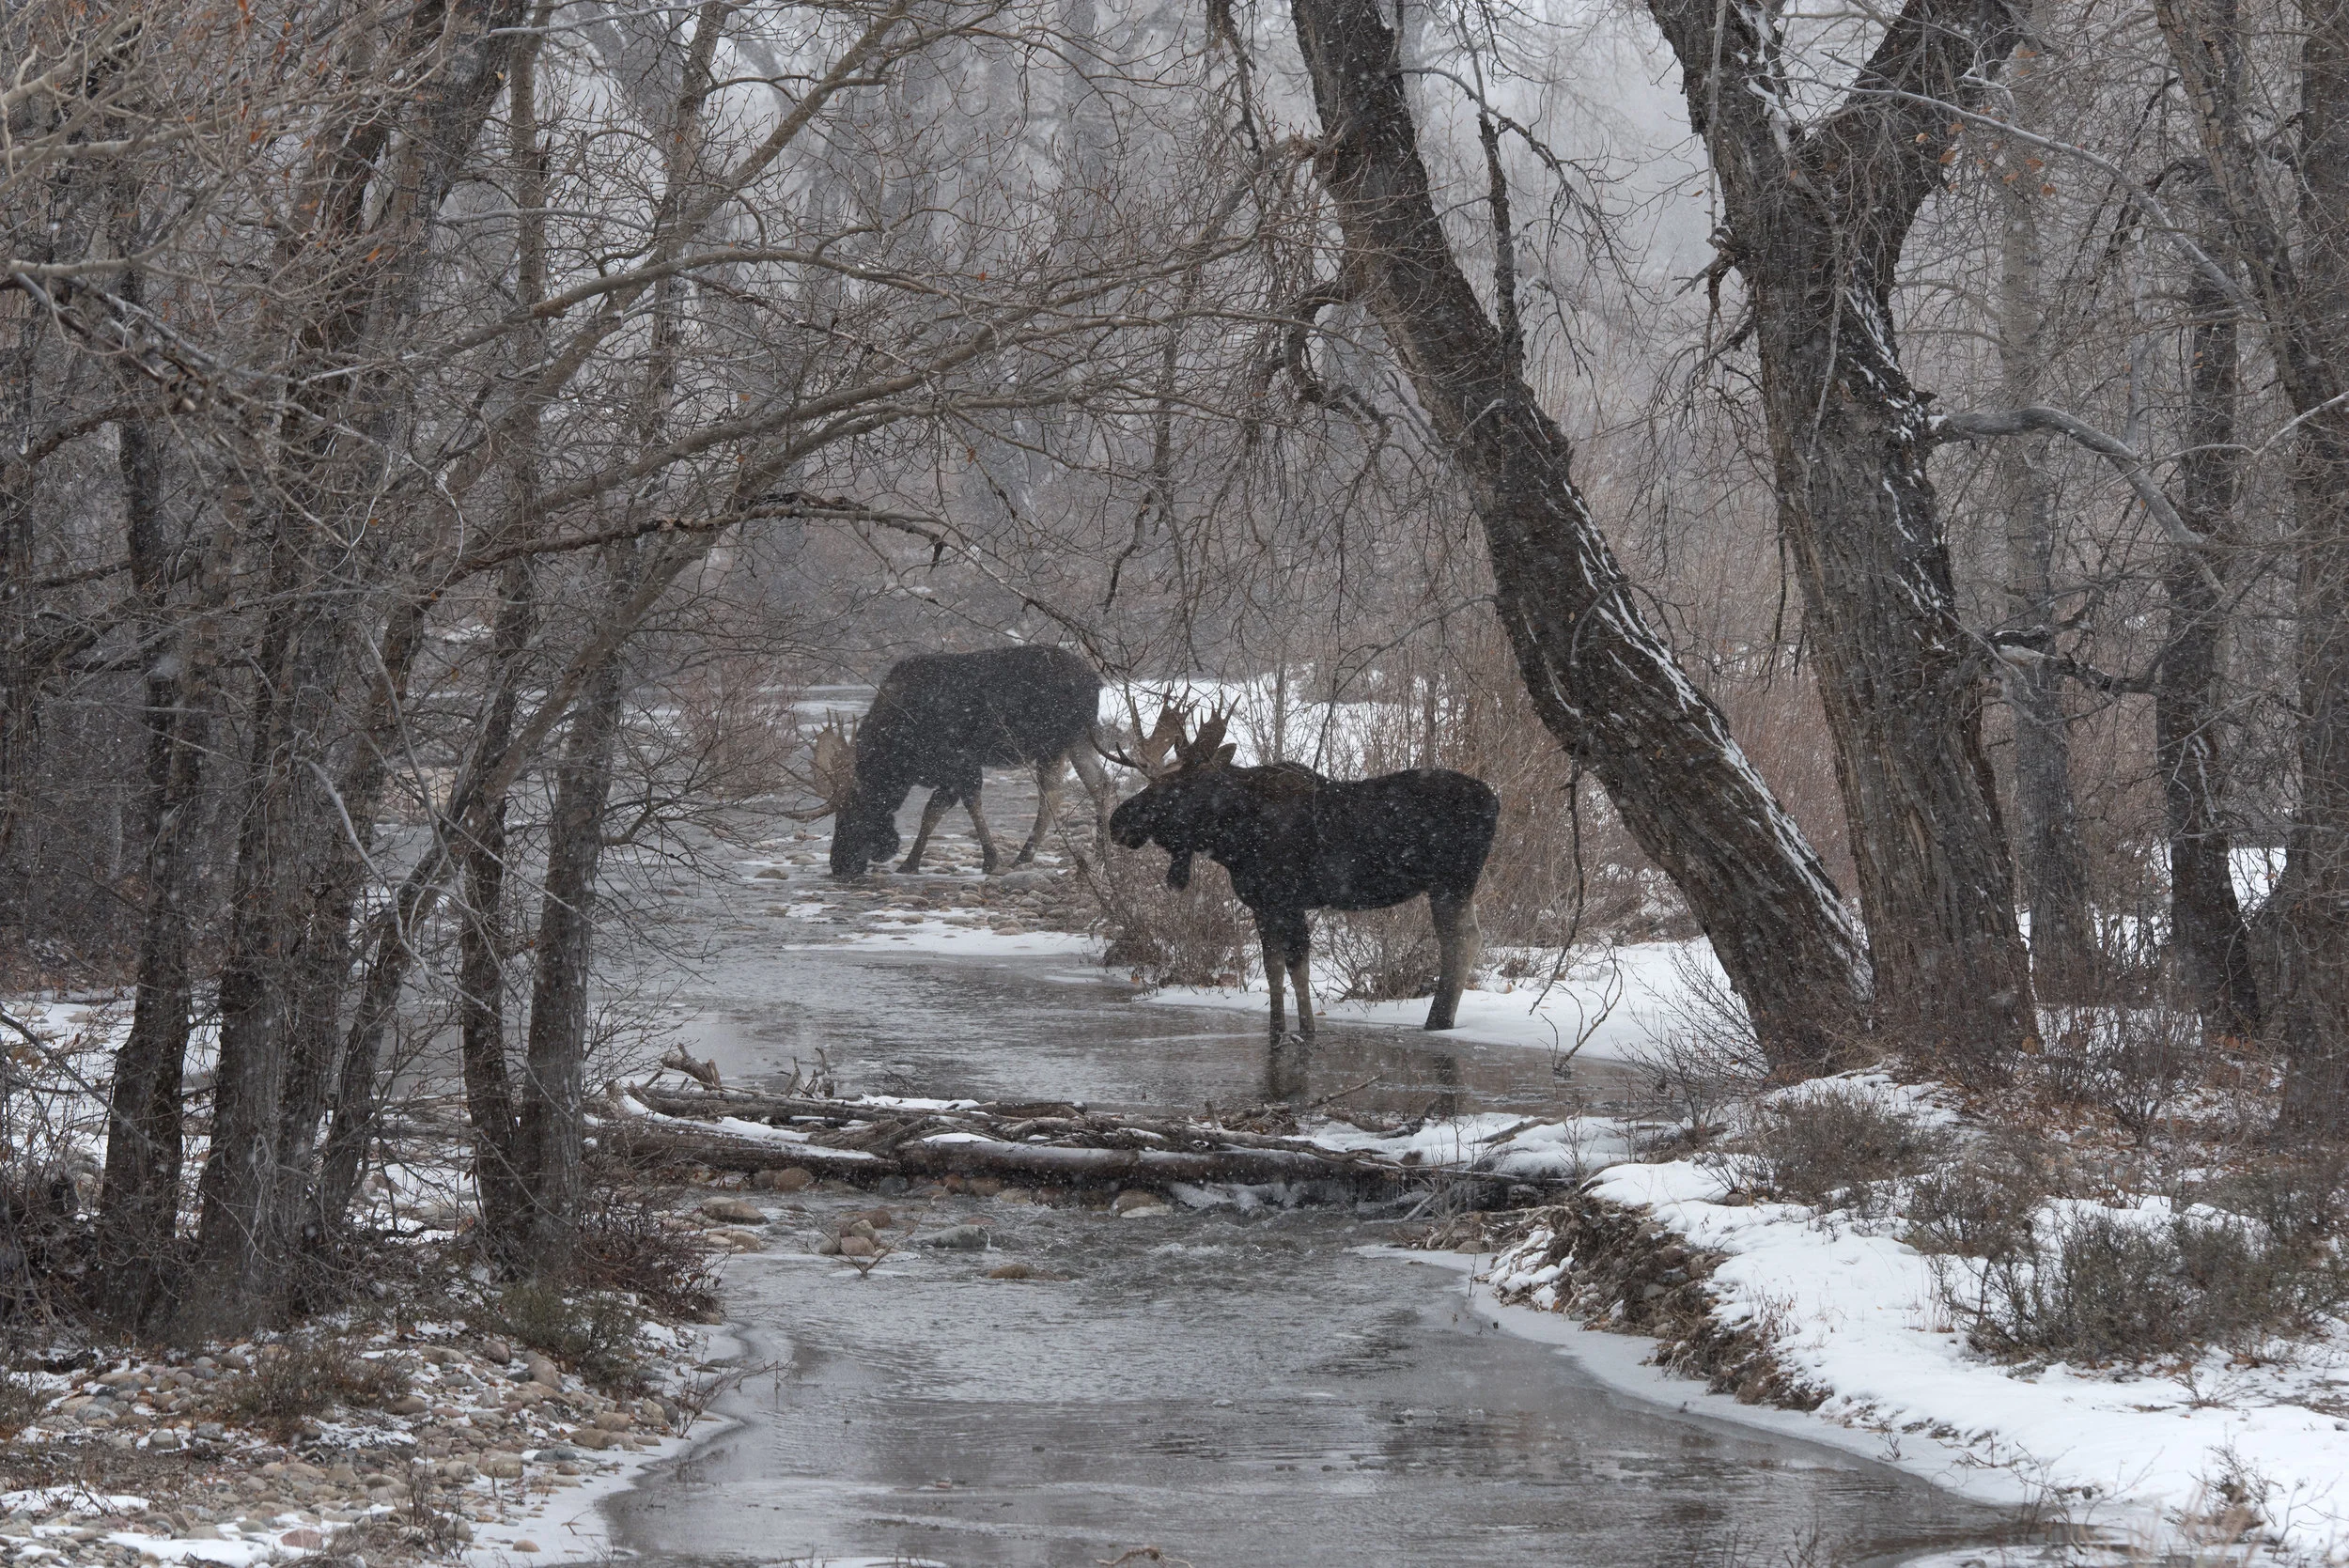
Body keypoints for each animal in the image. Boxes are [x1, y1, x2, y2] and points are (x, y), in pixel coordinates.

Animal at [792, 646, 1115, 877]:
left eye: (853, 815)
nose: (838, 865)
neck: (899, 759)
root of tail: (1095, 683)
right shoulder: (945, 775)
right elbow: (932, 812)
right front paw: (910, 863)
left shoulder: (962, 763)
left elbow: (965, 805)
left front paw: (992, 861)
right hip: (1079, 738)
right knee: (1100, 783)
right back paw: (1100, 852)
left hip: (1053, 742)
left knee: (1052, 794)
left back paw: (1024, 857)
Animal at [1106, 706, 1499, 1041]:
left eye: (1174, 787)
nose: (1117, 822)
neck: (1233, 839)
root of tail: (1495, 802)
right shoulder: (1262, 905)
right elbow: (1273, 968)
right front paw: (1275, 1030)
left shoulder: (1289, 900)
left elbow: (1298, 968)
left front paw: (1307, 1031)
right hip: (1452, 884)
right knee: (1470, 938)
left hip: (1452, 880)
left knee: (1461, 940)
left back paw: (1438, 1020)